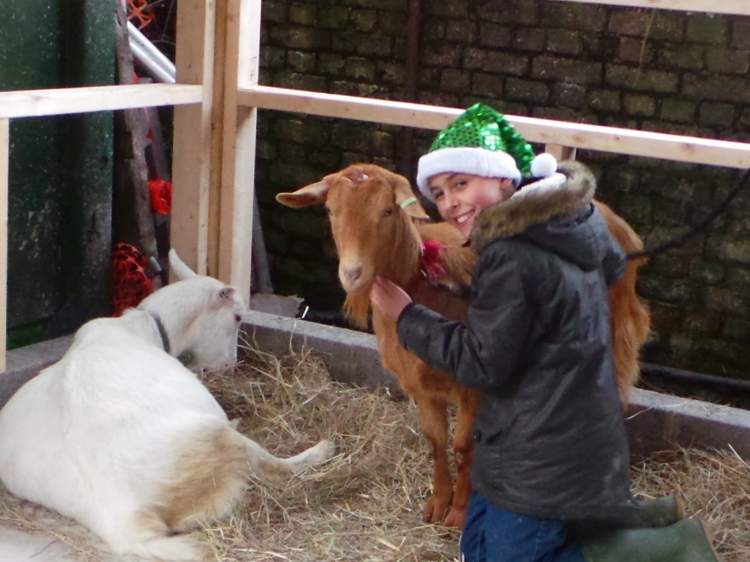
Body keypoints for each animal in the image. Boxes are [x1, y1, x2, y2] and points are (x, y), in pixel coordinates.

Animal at [0, 250, 336, 560]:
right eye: (238, 318)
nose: (229, 366)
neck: (141, 327)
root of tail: (125, 521)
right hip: (217, 442)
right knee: (272, 467)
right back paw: (322, 450)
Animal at [276, 161, 652, 524]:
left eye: (387, 210)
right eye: (330, 210)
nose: (352, 273)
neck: (420, 281)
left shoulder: (473, 386)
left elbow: (462, 448)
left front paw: (458, 512)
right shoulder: (421, 387)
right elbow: (435, 443)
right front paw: (437, 505)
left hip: (617, 323)